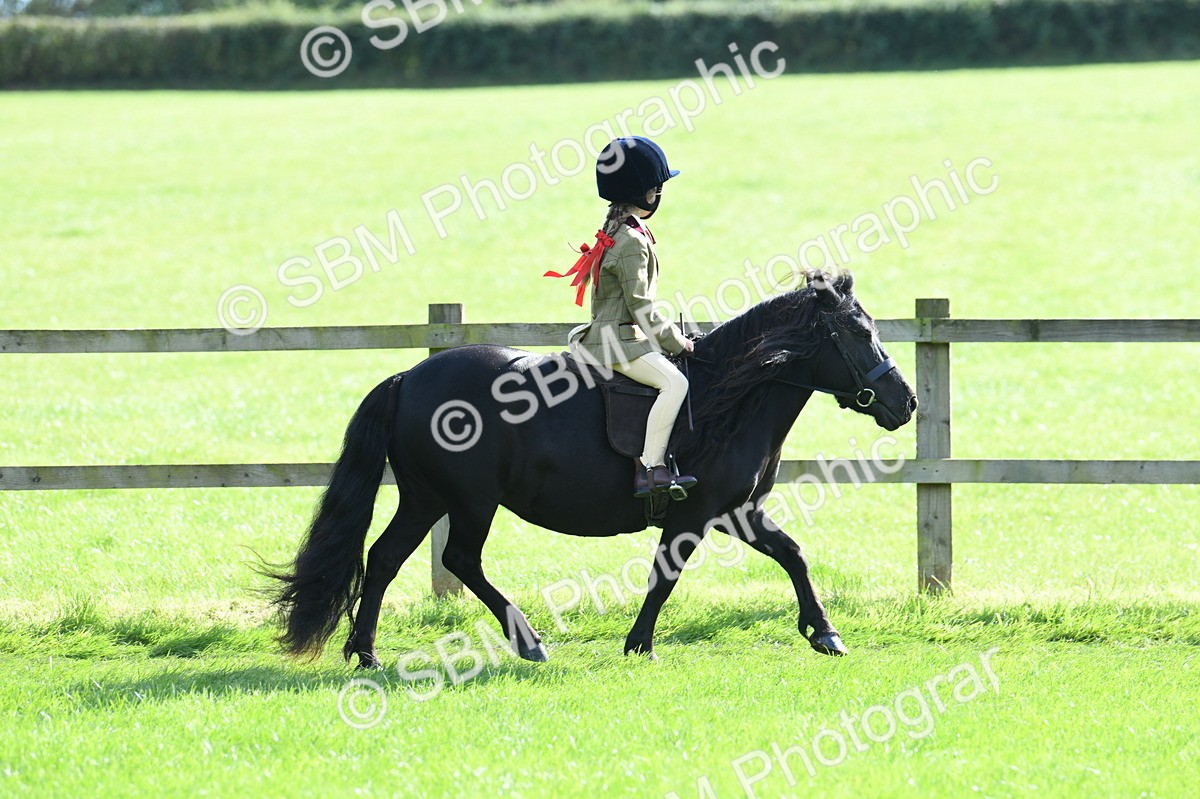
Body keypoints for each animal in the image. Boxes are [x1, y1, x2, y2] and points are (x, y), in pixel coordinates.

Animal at [265, 272, 917, 668]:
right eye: (861, 332)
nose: (905, 403)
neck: (730, 395)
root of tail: (408, 378)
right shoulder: (697, 513)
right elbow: (664, 576)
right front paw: (639, 645)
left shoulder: (737, 510)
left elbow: (793, 555)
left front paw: (825, 633)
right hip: (470, 502)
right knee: (460, 560)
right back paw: (529, 643)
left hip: (427, 499)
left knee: (384, 559)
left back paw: (366, 653)